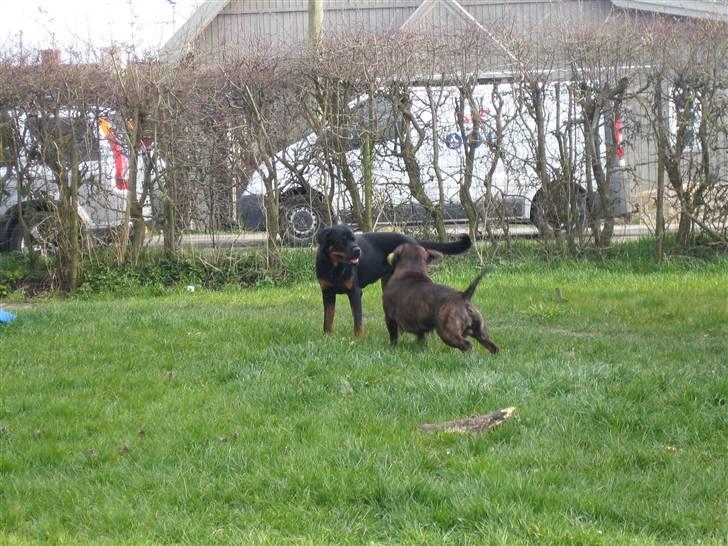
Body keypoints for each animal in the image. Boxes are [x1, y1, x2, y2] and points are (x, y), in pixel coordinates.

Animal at [316, 223, 470, 334]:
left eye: (354, 239)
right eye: (342, 240)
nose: (358, 250)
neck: (334, 268)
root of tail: (413, 240)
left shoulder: (355, 292)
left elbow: (357, 319)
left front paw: (359, 338)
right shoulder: (327, 293)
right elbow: (328, 318)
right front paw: (327, 336)